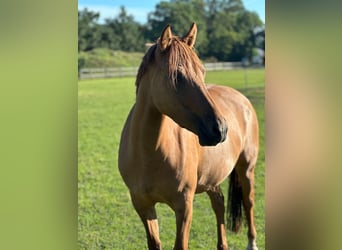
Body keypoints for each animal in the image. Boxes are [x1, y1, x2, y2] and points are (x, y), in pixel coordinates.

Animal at [117, 22, 260, 249]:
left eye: (202, 72)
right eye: (177, 76)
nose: (221, 129)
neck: (149, 154)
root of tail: (242, 98)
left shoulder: (184, 207)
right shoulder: (143, 205)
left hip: (246, 168)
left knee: (249, 202)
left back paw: (252, 242)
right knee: (219, 204)